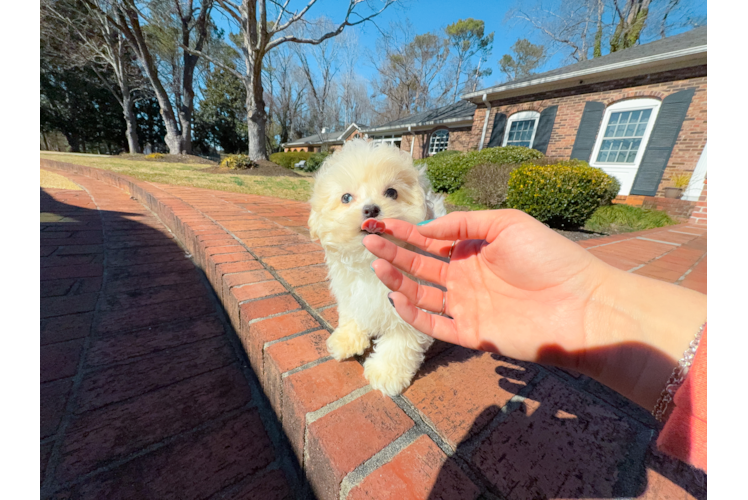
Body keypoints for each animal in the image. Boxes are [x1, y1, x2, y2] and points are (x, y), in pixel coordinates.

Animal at [308, 140, 448, 394]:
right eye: (345, 197)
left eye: (392, 192)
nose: (371, 209)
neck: (370, 262)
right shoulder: (351, 291)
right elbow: (352, 314)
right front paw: (346, 340)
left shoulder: (410, 304)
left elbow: (401, 341)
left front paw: (386, 374)